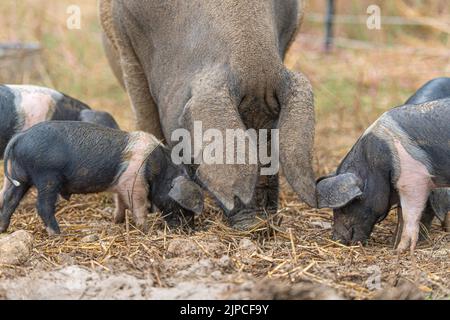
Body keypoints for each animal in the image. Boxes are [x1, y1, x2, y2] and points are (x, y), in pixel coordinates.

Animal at [0, 121, 202, 234]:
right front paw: (147, 230)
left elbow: (120, 203)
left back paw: (3, 229)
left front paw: (116, 220)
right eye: (180, 206)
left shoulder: (120, 185)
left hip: (19, 178)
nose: (190, 231)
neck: (159, 169)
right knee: (42, 206)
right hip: (47, 177)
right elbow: (138, 206)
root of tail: (20, 136)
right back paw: (58, 234)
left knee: (8, 200)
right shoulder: (133, 182)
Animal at [316, 97, 450, 252]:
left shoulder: (414, 177)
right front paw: (395, 245)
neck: (375, 162)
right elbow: (402, 214)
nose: (335, 239)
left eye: (346, 207)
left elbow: (409, 214)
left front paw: (400, 250)